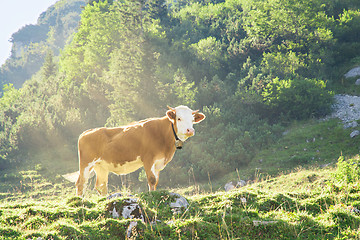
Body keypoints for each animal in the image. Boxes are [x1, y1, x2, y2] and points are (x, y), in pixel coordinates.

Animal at [63, 106, 205, 196]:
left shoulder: (158, 162)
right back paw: (80, 202)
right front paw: (151, 195)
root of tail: (86, 132)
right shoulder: (148, 159)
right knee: (81, 183)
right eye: (179, 118)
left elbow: (156, 181)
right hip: (86, 163)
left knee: (101, 185)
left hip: (101, 166)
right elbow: (151, 179)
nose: (190, 130)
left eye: (192, 120)